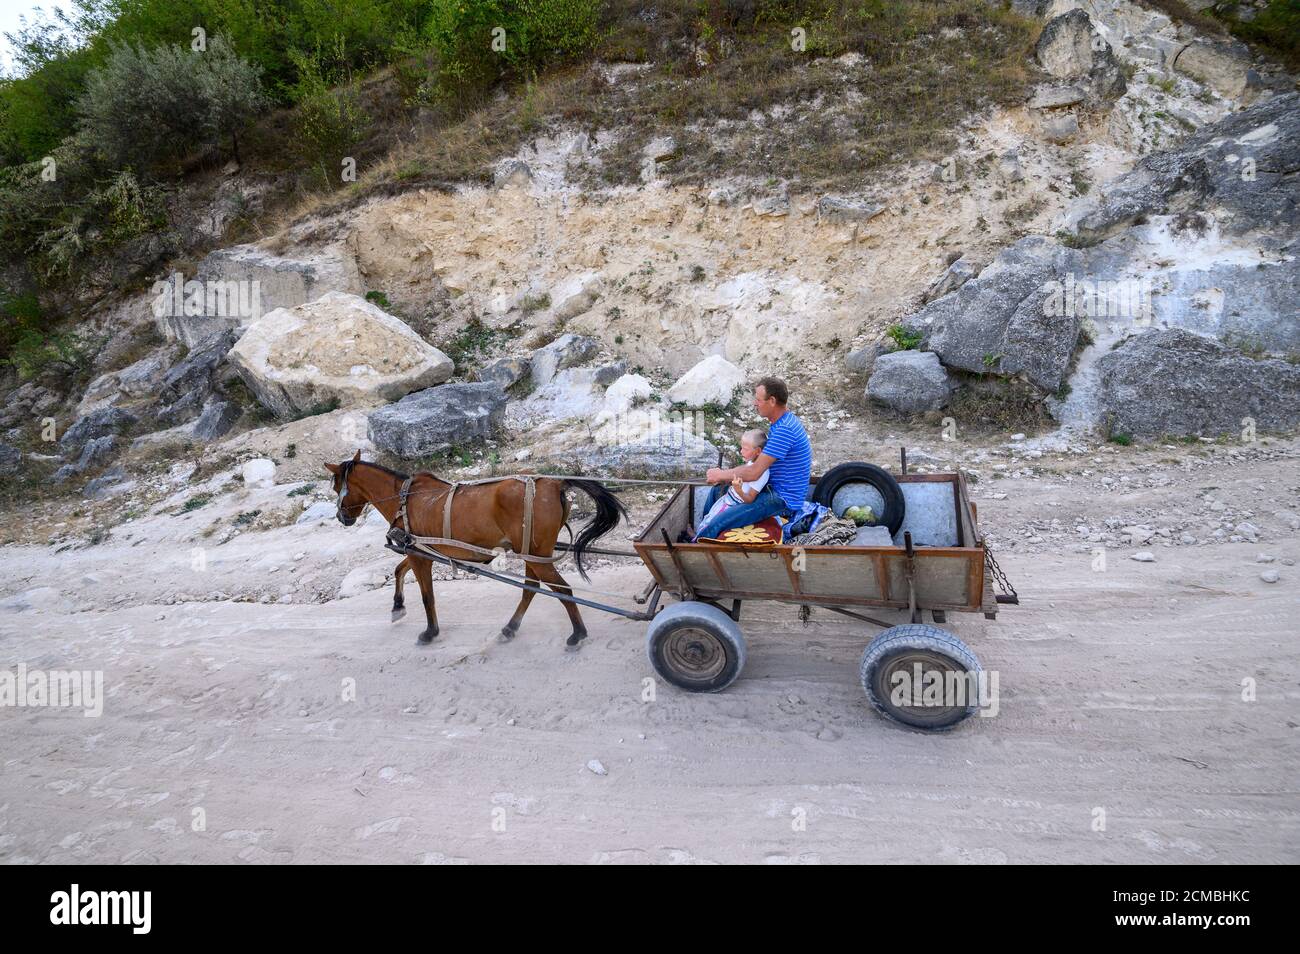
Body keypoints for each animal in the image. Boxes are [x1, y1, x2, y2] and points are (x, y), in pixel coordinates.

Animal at [327, 454, 626, 649]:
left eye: (335, 486)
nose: (342, 518)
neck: (403, 498)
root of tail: (555, 483)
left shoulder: (418, 554)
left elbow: (426, 596)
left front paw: (430, 632)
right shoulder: (419, 550)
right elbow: (399, 570)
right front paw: (397, 607)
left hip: (537, 555)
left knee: (561, 589)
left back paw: (578, 634)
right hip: (533, 553)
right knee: (532, 588)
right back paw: (510, 628)